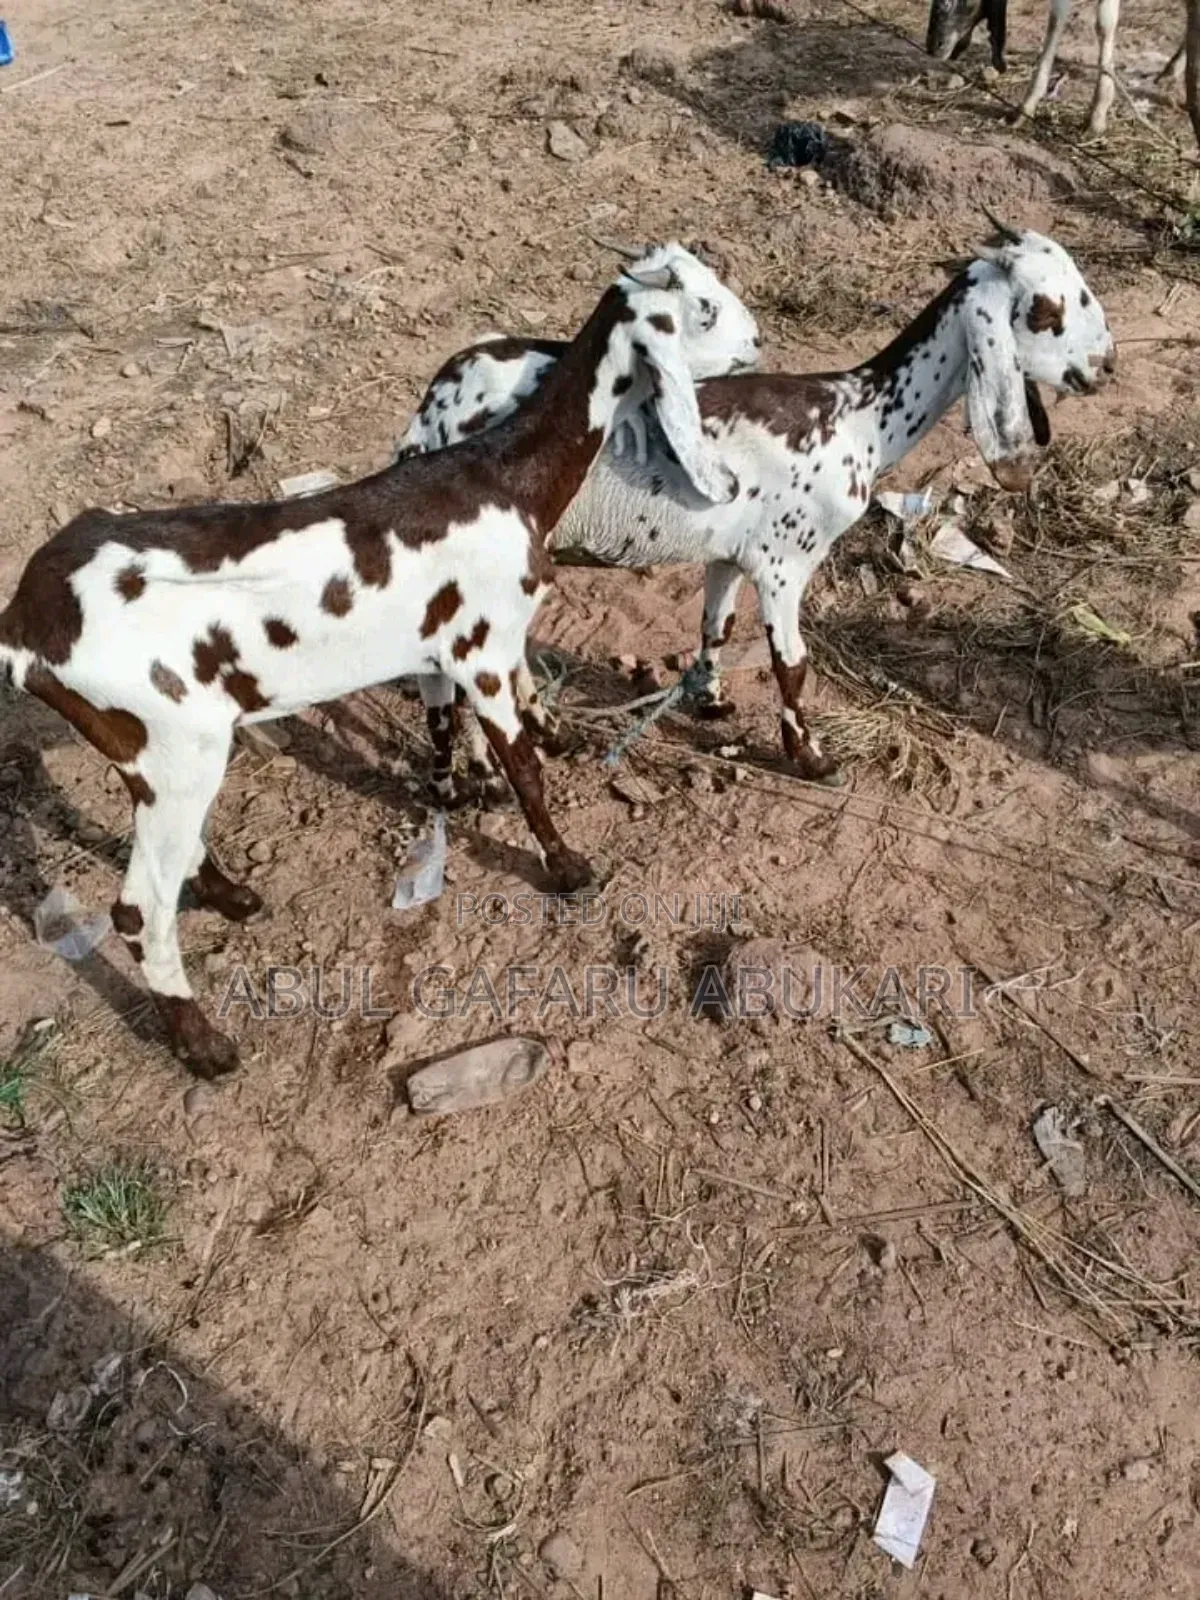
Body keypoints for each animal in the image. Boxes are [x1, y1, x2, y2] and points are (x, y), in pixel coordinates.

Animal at [0, 260, 736, 1078]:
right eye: (704, 310)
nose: (757, 347)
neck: (502, 477)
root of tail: (26, 630)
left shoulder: (442, 648)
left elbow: (446, 725)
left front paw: (454, 795)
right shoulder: (485, 648)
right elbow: (526, 766)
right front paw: (568, 866)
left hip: (152, 757)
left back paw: (232, 897)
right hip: (177, 745)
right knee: (137, 910)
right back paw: (205, 1047)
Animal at [398, 224, 1115, 792]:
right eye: (1046, 309)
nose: (1104, 367)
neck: (859, 416)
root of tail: (432, 413)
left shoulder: (731, 554)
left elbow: (715, 626)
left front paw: (711, 702)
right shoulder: (785, 562)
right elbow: (792, 665)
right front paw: (813, 758)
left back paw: (545, 732)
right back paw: (488, 775)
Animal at [926, 0, 1200, 144]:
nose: (932, 45)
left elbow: (1105, 22)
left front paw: (1097, 115)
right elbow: (1057, 20)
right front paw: (1025, 108)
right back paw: (1171, 70)